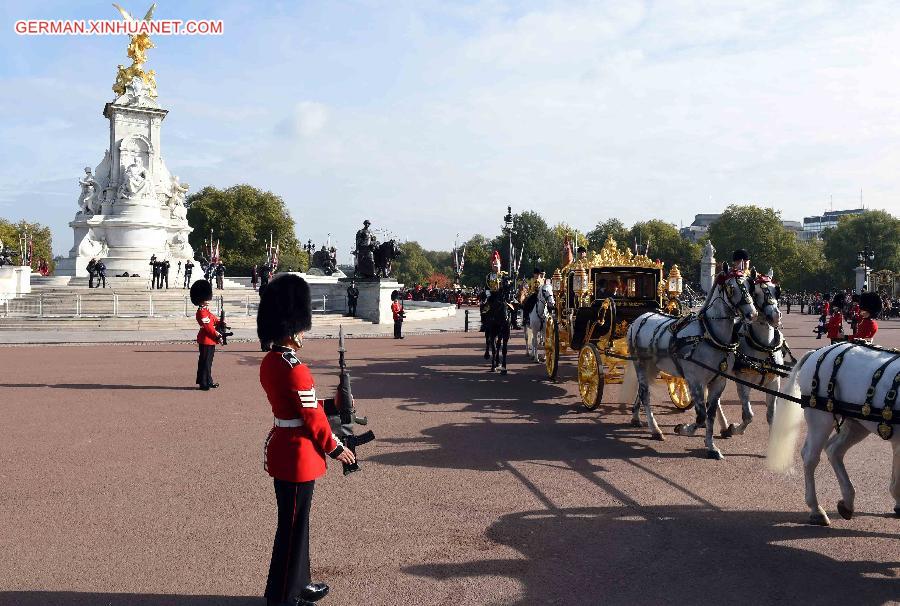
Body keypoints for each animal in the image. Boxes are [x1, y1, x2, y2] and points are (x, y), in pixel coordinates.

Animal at [624, 270, 760, 460]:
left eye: (750, 286)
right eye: (731, 288)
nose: (752, 314)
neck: (710, 336)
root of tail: (640, 318)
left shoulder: (718, 382)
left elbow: (710, 414)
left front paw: (711, 446)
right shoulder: (695, 381)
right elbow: (701, 416)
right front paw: (683, 429)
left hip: (653, 366)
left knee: (641, 390)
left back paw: (636, 418)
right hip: (641, 363)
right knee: (645, 395)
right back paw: (655, 430)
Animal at [768, 344, 900, 524]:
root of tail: (818, 351)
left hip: (857, 424)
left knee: (834, 450)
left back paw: (847, 501)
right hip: (821, 418)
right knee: (810, 457)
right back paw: (816, 509)